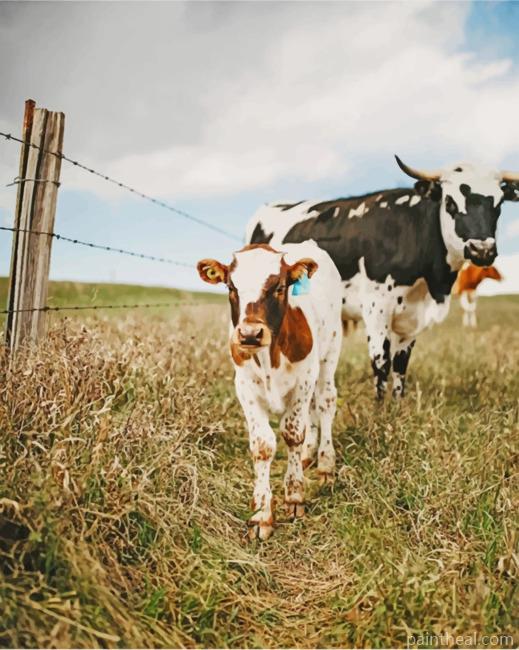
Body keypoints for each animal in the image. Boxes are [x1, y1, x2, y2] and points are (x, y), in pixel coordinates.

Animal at [197, 241, 342, 540]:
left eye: (280, 287)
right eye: (231, 287)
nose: (250, 334)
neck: (269, 358)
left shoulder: (304, 379)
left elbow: (293, 434)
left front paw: (295, 496)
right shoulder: (244, 387)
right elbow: (263, 445)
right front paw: (262, 514)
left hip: (329, 354)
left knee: (325, 403)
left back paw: (325, 464)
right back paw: (310, 455)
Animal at [246, 157, 519, 399]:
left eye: (498, 205)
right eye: (450, 203)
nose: (482, 250)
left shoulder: (412, 317)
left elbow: (400, 364)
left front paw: (397, 405)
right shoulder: (377, 309)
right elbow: (381, 363)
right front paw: (380, 410)